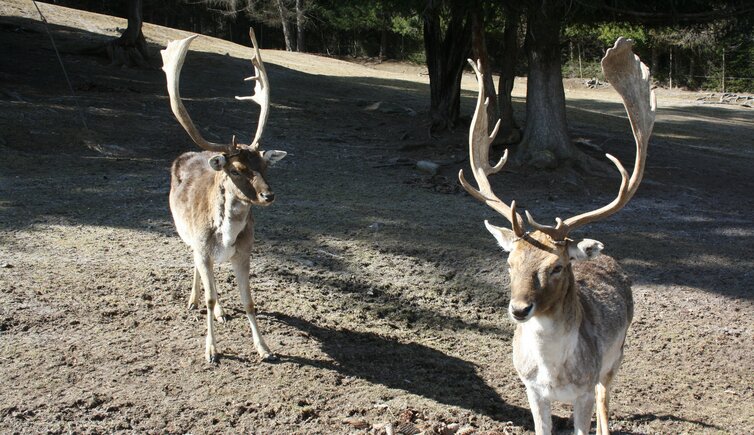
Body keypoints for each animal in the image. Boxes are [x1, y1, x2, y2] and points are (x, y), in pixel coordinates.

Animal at [160, 29, 286, 364]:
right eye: (237, 169)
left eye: (265, 165)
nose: (268, 195)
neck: (226, 236)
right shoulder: (203, 248)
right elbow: (210, 295)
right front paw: (211, 350)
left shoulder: (244, 253)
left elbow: (250, 302)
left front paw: (265, 349)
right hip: (186, 234)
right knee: (197, 269)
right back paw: (194, 300)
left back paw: (220, 311)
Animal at [456, 39, 656, 434]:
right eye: (509, 262)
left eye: (558, 266)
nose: (519, 309)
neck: (554, 376)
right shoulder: (531, 389)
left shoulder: (583, 389)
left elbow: (589, 414)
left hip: (617, 354)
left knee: (605, 397)